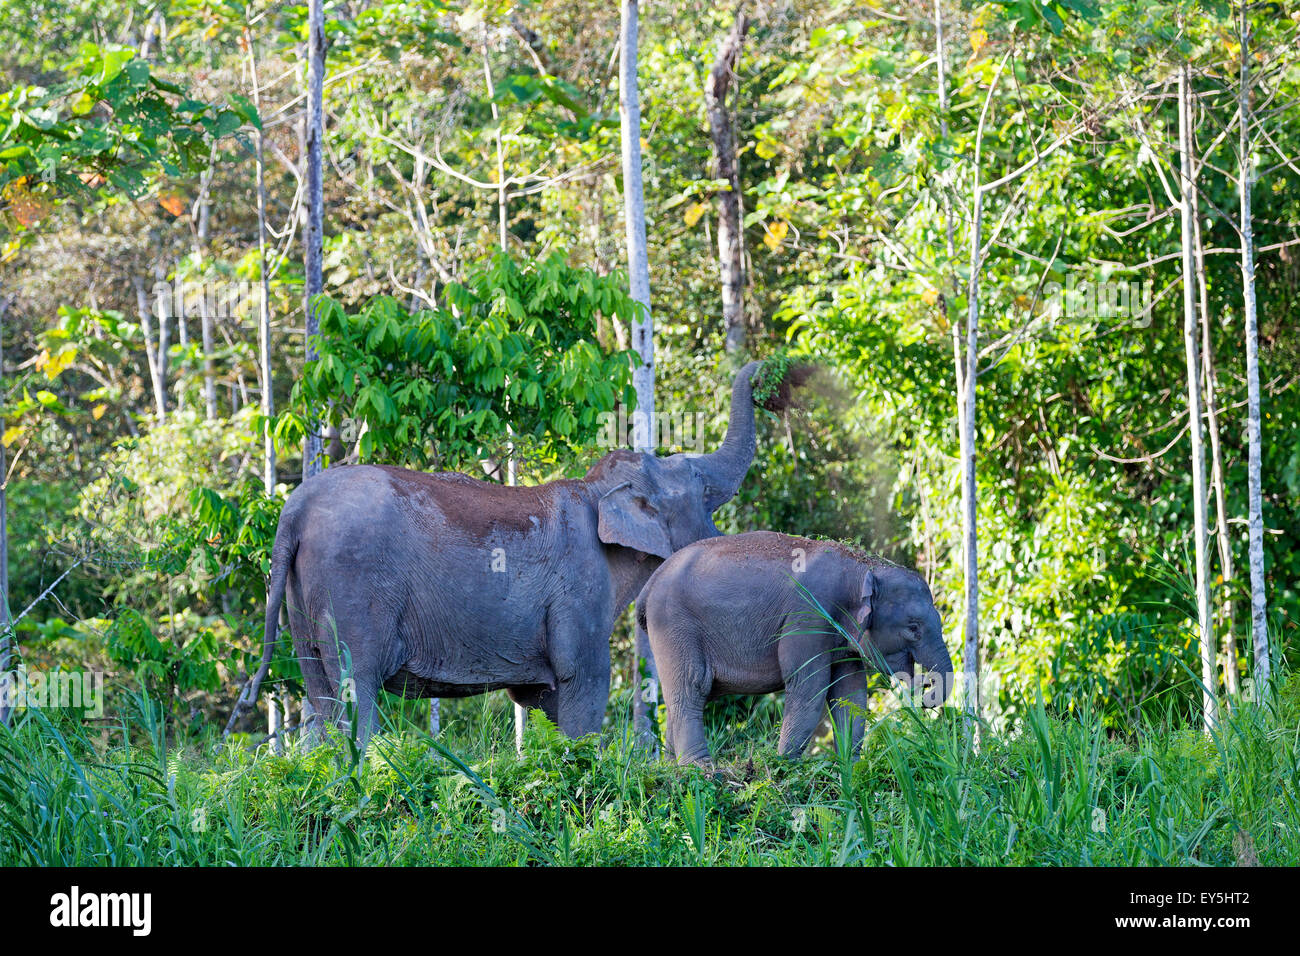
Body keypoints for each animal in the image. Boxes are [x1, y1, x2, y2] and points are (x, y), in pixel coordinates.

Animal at [234, 361, 788, 746]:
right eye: (702, 487)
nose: (772, 376)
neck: (594, 488)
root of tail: (293, 509)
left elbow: (545, 697)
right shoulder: (580, 587)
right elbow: (584, 680)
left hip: (302, 595)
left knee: (319, 692)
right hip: (353, 584)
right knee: (357, 684)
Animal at [635, 531, 953, 764]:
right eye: (913, 628)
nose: (926, 691)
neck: (863, 567)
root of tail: (648, 586)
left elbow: (849, 692)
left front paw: (848, 767)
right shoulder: (809, 613)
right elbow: (808, 683)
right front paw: (784, 766)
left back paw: (670, 768)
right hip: (674, 623)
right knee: (692, 685)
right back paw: (701, 769)